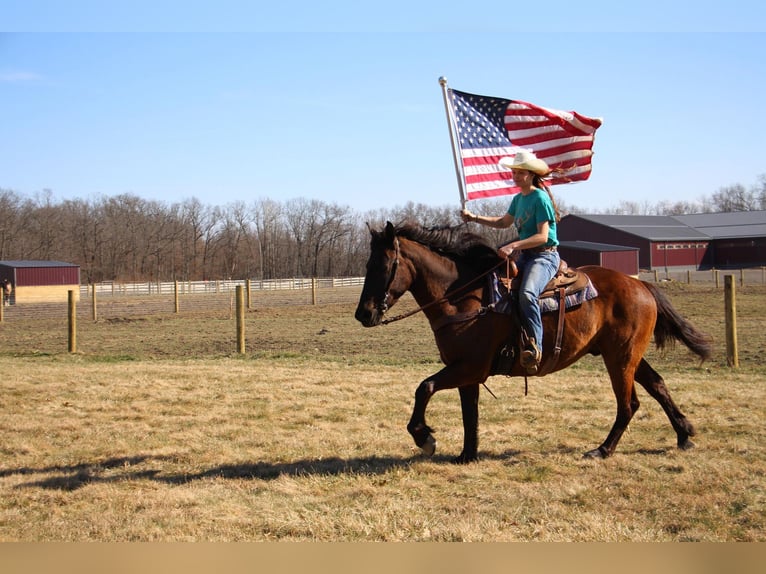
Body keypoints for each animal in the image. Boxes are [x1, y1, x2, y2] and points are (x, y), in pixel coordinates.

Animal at [356, 223, 716, 466]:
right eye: (366, 265)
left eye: (383, 265)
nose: (364, 313)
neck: (463, 298)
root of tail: (640, 285)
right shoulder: (467, 373)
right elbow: (469, 413)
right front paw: (467, 454)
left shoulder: (469, 367)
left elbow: (425, 387)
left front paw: (424, 437)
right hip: (627, 354)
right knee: (657, 385)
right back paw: (684, 434)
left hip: (621, 357)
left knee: (629, 404)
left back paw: (602, 450)